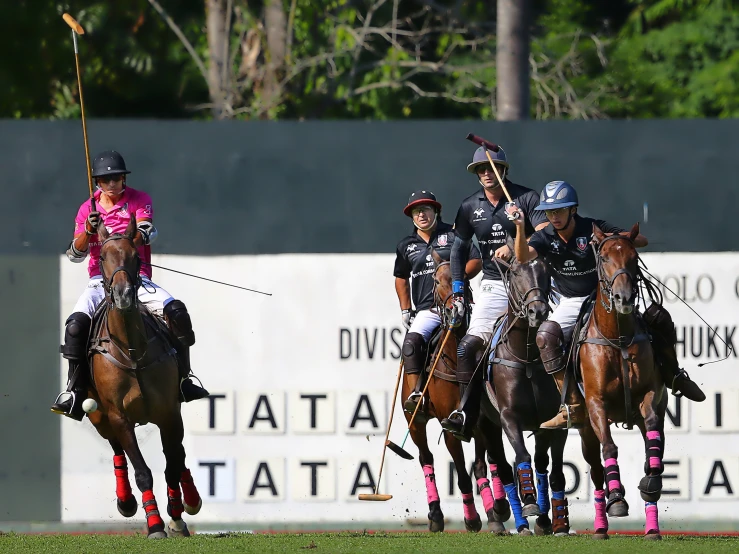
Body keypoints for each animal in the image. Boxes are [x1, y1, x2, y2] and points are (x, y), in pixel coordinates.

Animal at [84, 215, 202, 536]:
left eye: (136, 256)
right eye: (102, 256)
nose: (123, 295)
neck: (132, 351)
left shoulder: (169, 411)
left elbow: (171, 465)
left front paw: (176, 518)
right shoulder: (118, 416)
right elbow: (142, 471)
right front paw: (154, 524)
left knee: (178, 455)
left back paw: (190, 501)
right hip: (98, 415)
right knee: (117, 452)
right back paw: (125, 502)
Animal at [402, 250, 512, 532]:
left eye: (461, 278)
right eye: (436, 281)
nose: (455, 310)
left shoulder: (481, 422)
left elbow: (485, 466)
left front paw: (497, 511)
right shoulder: (449, 426)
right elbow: (462, 475)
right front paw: (473, 519)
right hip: (414, 421)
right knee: (425, 457)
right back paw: (435, 515)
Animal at [580, 222, 672, 536]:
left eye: (634, 258)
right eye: (605, 258)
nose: (624, 299)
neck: (617, 337)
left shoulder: (650, 394)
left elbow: (653, 435)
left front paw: (651, 480)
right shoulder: (596, 403)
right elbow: (609, 446)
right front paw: (617, 498)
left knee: (653, 447)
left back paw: (653, 526)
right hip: (585, 428)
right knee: (596, 470)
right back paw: (600, 526)